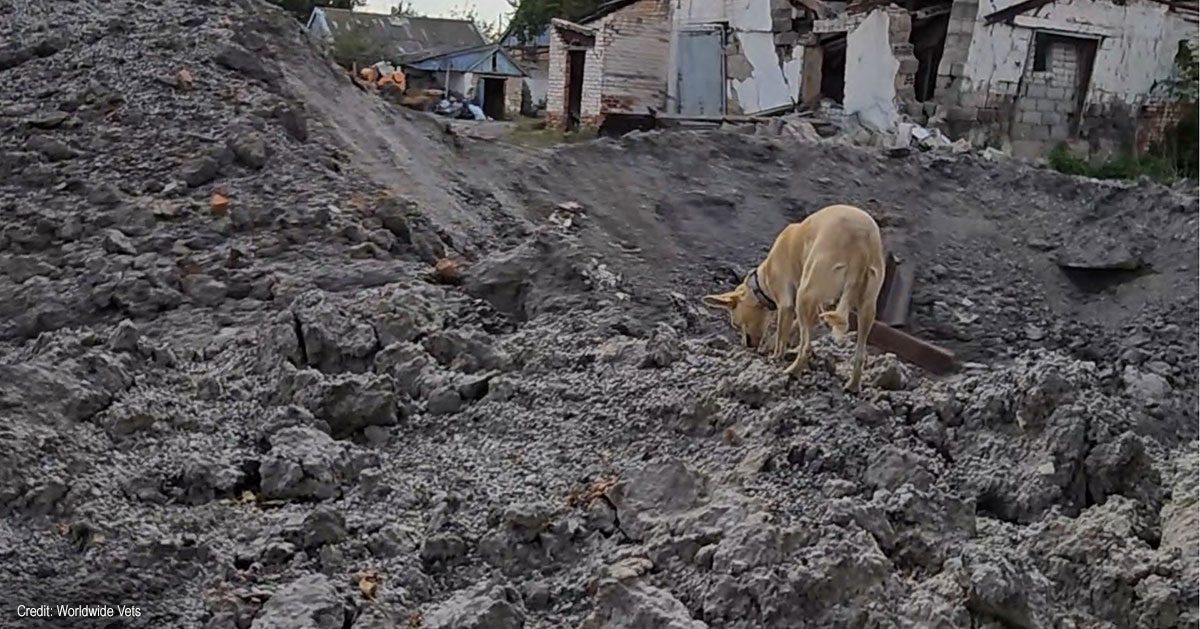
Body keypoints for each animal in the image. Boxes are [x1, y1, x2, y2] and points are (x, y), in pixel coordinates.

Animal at [700, 204, 883, 391]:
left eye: (736, 325)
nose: (748, 345)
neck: (762, 279)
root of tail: (861, 242)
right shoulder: (820, 308)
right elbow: (797, 326)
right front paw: (769, 345)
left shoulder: (786, 304)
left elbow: (782, 335)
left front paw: (774, 355)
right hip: (866, 307)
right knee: (859, 354)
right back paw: (853, 385)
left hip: (805, 293)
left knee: (805, 347)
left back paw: (793, 370)